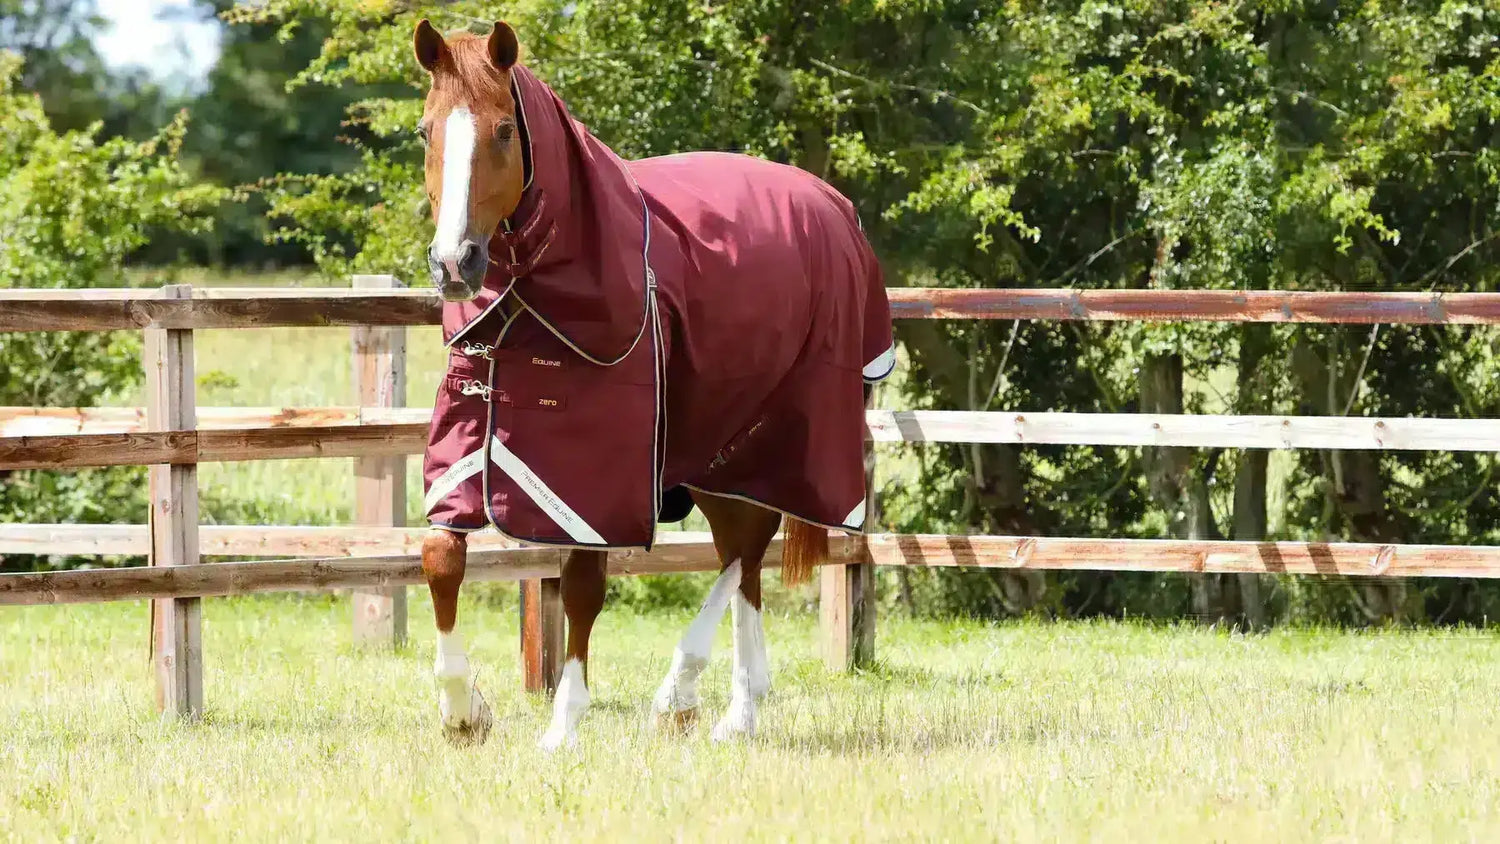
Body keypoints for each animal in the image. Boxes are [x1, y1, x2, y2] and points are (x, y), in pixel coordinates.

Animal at [411, 19, 894, 750]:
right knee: (743, 559)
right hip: (715, 450)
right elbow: (441, 555)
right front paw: (464, 712)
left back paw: (688, 694)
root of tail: (835, 206)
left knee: (744, 550)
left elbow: (584, 584)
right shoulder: (471, 442)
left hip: (775, 437)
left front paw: (563, 724)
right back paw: (736, 708)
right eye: (425, 131)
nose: (453, 264)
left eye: (503, 131)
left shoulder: (595, 478)